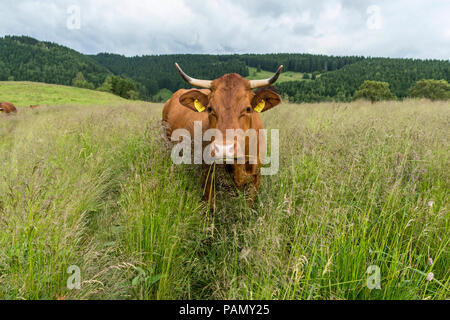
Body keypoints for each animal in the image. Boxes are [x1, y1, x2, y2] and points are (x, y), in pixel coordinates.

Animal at [163, 63, 284, 210]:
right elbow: (211, 208)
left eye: (248, 109)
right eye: (210, 108)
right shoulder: (207, 174)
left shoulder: (255, 178)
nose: (224, 149)